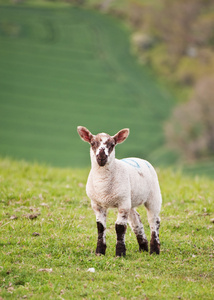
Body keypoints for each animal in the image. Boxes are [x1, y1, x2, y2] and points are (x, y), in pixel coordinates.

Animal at [77, 125, 162, 256]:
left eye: (112, 144)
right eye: (92, 143)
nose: (101, 157)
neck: (103, 186)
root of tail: (141, 159)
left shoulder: (122, 203)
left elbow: (120, 227)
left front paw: (120, 253)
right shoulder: (97, 204)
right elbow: (100, 227)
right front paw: (100, 251)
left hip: (153, 195)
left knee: (154, 220)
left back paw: (154, 250)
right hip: (130, 199)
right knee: (136, 219)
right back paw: (143, 247)